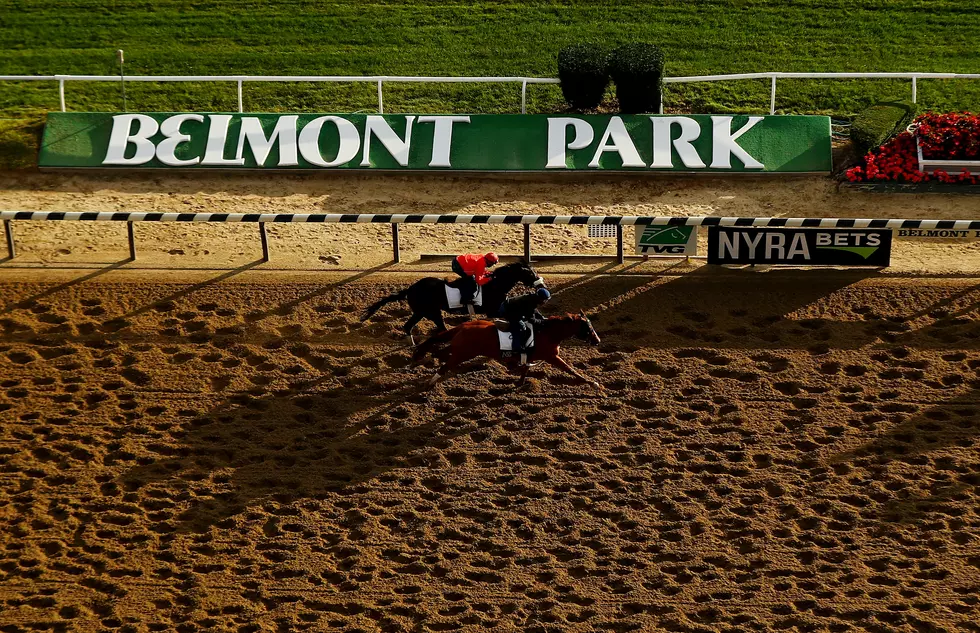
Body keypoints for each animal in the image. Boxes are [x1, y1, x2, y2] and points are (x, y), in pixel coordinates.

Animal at [360, 260, 544, 344]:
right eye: (530, 273)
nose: (541, 284)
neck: (495, 285)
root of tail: (410, 289)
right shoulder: (493, 309)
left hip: (422, 312)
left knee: (409, 326)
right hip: (428, 311)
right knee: (436, 328)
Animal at [410, 312, 600, 390]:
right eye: (588, 327)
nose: (597, 341)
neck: (547, 332)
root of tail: (463, 327)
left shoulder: (531, 357)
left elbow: (525, 370)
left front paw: (519, 383)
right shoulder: (552, 357)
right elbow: (571, 370)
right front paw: (592, 383)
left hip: (460, 351)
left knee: (440, 356)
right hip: (462, 354)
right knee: (444, 366)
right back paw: (429, 382)